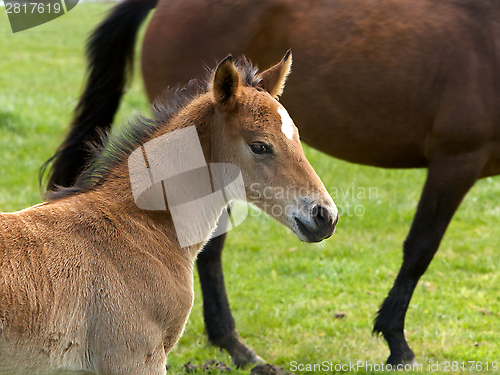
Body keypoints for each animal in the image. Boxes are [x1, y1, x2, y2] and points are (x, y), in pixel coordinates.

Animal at [44, 0, 500, 368]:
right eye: (260, 146)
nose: (326, 217)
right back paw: (234, 344)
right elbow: (421, 247)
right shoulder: (456, 157)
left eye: (297, 136)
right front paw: (396, 343)